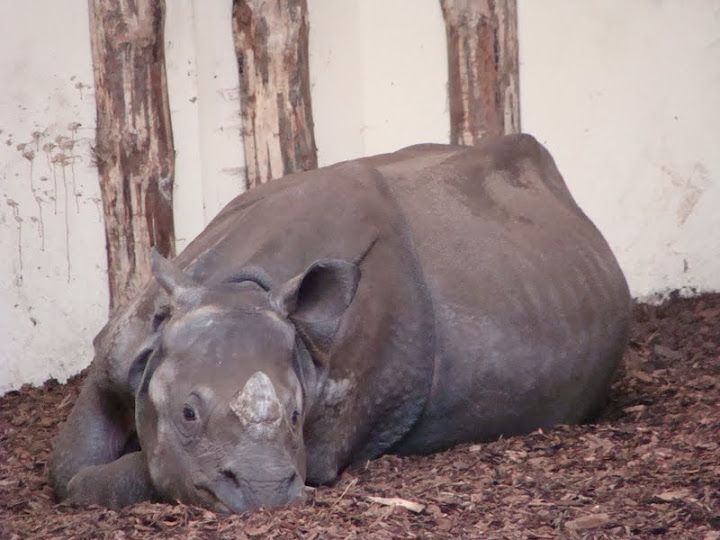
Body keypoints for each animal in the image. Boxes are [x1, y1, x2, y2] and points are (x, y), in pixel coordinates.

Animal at [49, 134, 630, 513]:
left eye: (297, 414)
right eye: (188, 414)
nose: (265, 491)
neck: (235, 291)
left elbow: (135, 472)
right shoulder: (124, 347)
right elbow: (71, 460)